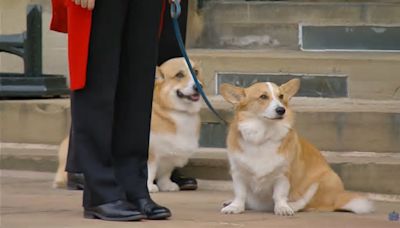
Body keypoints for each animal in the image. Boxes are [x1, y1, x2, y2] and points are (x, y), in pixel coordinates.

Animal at [53, 57, 202, 192]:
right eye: (179, 75)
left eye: (196, 72)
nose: (198, 86)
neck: (172, 110)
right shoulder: (150, 154)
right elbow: (150, 171)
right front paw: (148, 187)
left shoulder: (169, 155)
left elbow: (165, 174)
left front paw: (167, 186)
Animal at [219, 79, 372, 216]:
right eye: (263, 96)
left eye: (281, 96)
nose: (281, 110)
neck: (263, 135)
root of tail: (339, 198)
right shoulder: (238, 173)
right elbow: (240, 194)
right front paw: (235, 206)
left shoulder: (283, 175)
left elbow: (280, 195)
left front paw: (282, 208)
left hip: (325, 179)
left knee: (308, 204)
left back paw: (292, 205)